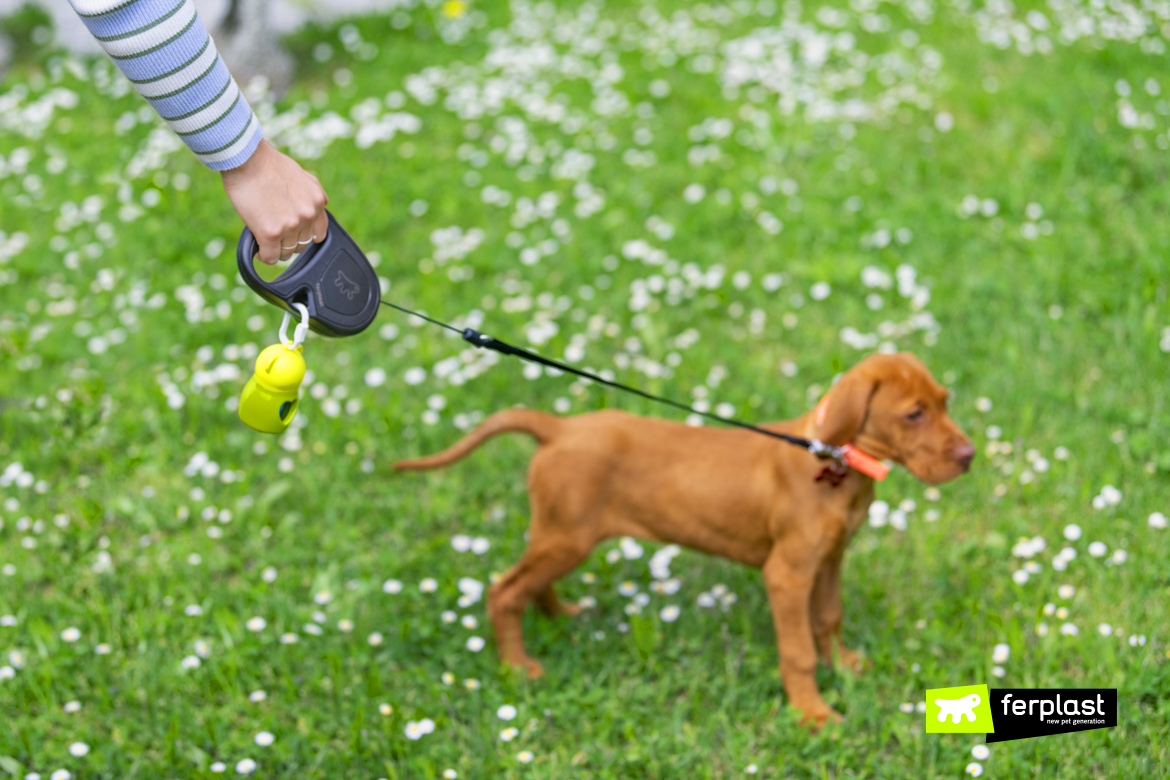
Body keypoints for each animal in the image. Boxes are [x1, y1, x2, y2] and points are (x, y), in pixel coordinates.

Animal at [397, 350, 973, 729]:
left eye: (946, 401)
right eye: (914, 414)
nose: (969, 456)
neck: (834, 461)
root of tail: (559, 427)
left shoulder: (829, 561)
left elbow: (827, 618)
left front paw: (845, 666)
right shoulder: (787, 575)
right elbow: (798, 651)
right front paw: (812, 710)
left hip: (560, 533)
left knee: (529, 581)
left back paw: (560, 616)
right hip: (567, 537)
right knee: (503, 590)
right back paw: (519, 667)